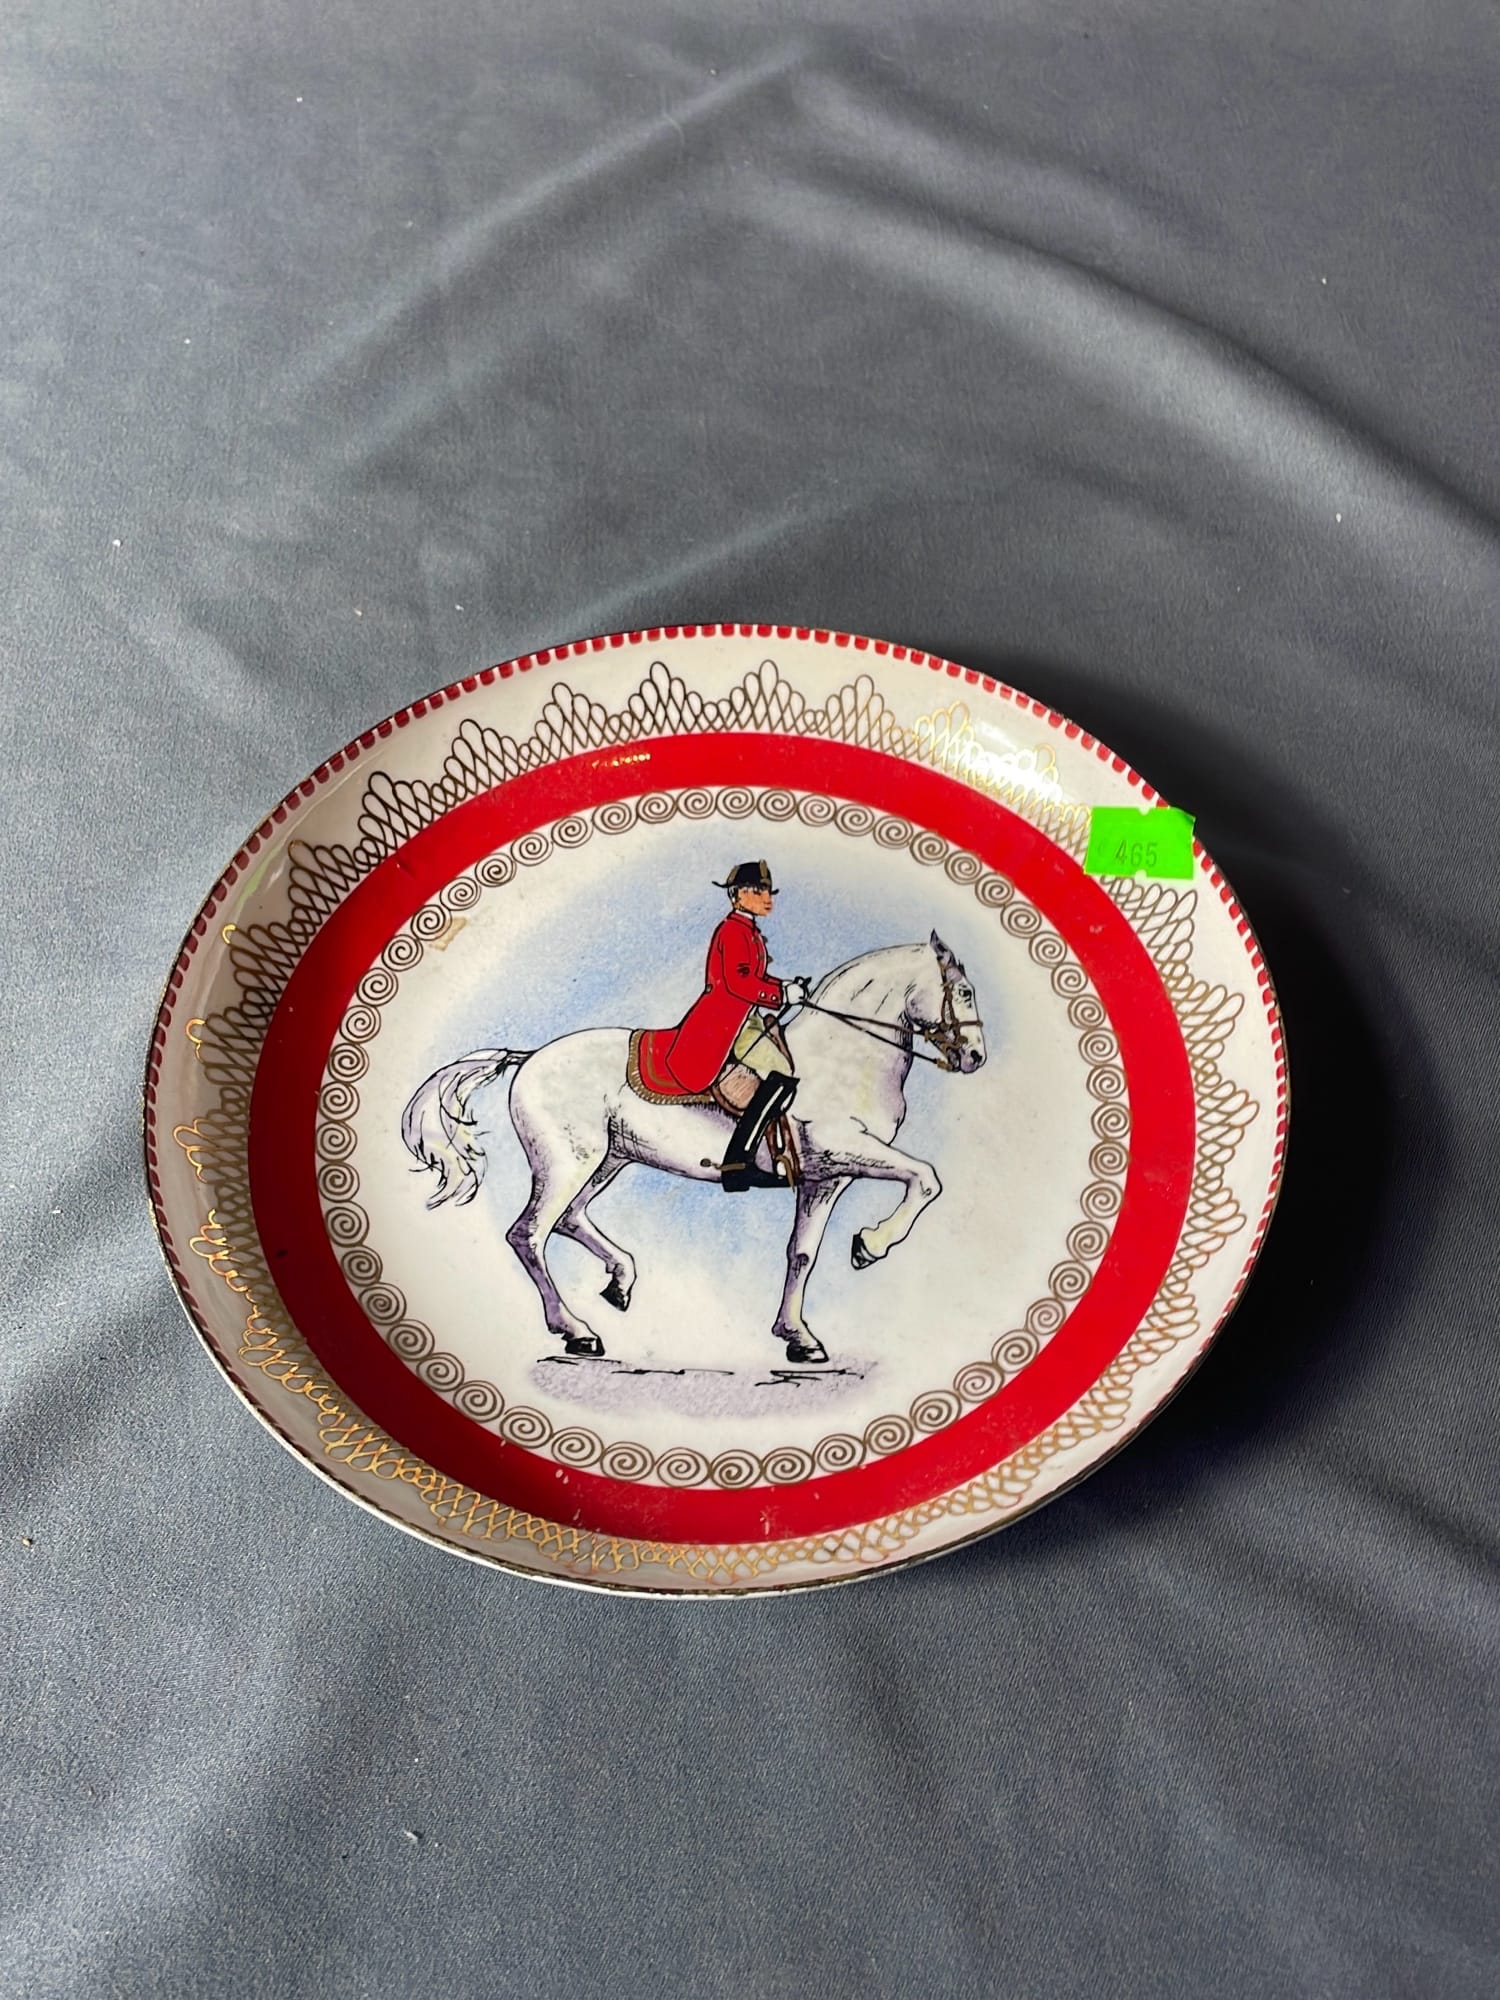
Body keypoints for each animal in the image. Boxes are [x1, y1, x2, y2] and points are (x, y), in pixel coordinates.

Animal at [399, 933, 986, 1366]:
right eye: (963, 992)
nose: (975, 1057)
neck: (843, 1054)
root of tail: (529, 1058)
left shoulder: (824, 1177)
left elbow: (801, 1253)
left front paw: (798, 1337)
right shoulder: (843, 1149)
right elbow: (925, 1177)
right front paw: (871, 1244)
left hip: (608, 1160)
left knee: (569, 1220)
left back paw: (620, 1280)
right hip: (568, 1162)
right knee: (530, 1233)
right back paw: (576, 1331)